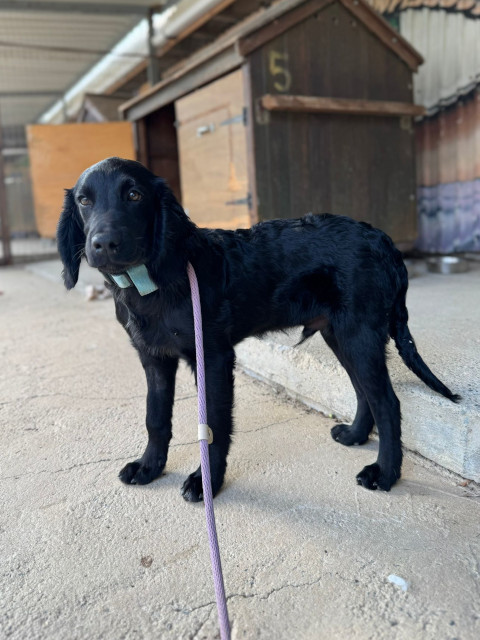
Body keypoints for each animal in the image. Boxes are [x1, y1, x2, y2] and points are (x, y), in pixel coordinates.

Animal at [57, 157, 459, 501]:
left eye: (134, 195)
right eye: (84, 200)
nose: (104, 244)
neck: (151, 280)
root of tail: (382, 239)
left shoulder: (213, 357)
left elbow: (213, 426)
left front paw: (206, 483)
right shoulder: (154, 358)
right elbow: (155, 417)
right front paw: (149, 467)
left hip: (358, 334)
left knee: (387, 402)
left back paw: (385, 473)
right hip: (340, 334)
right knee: (364, 391)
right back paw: (355, 435)